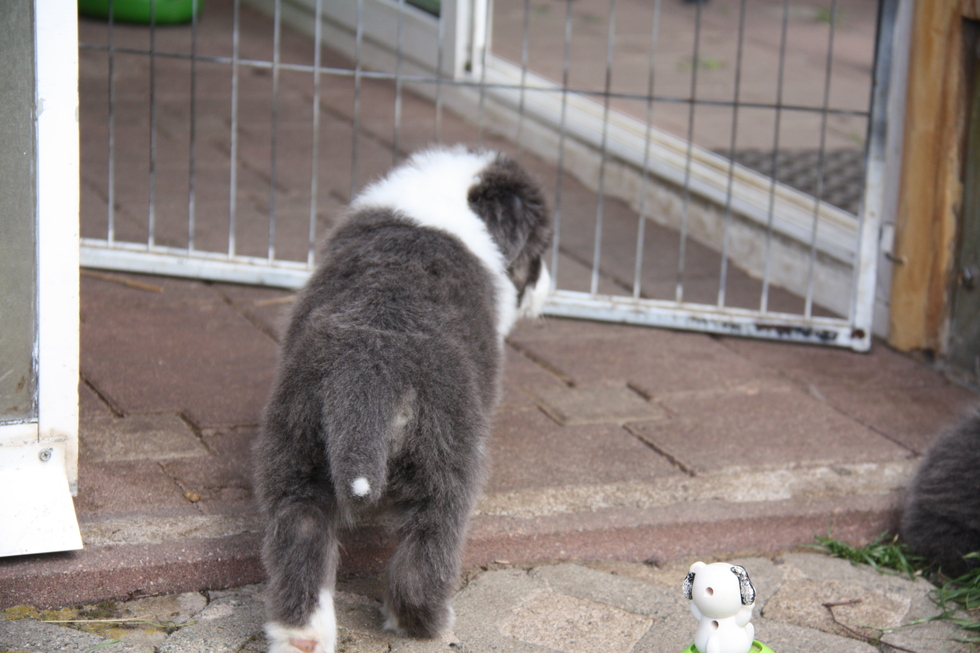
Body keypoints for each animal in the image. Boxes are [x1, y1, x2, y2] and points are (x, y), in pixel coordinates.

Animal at [252, 146, 552, 653]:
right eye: (540, 249)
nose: (548, 290)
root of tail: (371, 366)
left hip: (297, 446)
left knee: (300, 537)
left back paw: (303, 636)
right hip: (445, 457)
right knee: (428, 546)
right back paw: (425, 622)